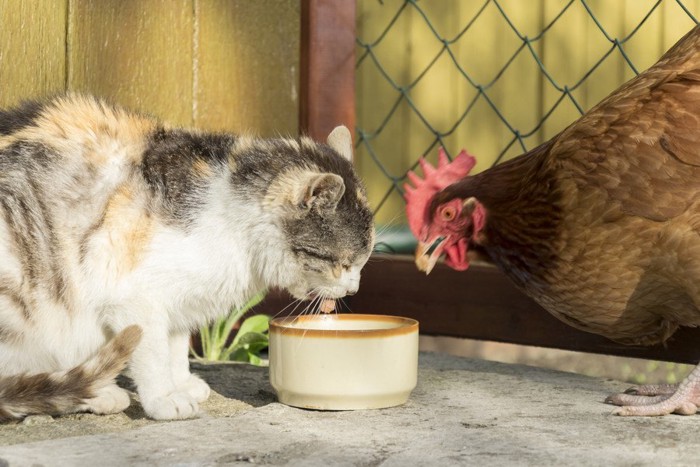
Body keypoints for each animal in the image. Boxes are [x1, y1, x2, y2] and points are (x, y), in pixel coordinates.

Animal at [0, 94, 374, 420]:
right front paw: (164, 398)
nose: (354, 289)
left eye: (363, 260)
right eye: (342, 262)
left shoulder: (180, 300)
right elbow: (152, 351)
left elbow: (176, 345)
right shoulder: (134, 298)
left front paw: (180, 383)